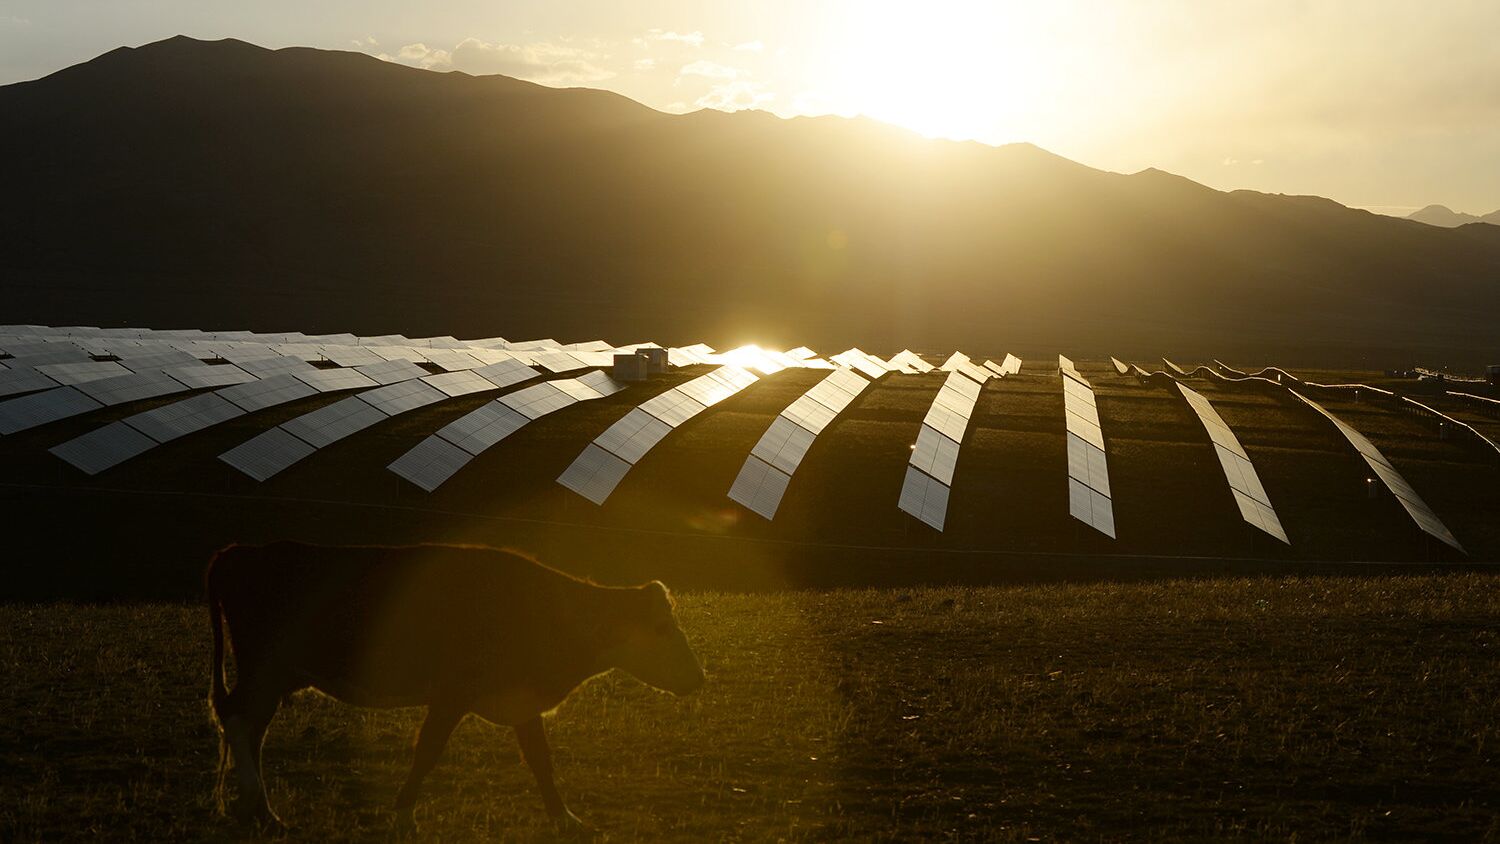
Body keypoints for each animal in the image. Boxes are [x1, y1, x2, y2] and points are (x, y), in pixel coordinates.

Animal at [205, 542, 708, 833]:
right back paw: (257, 803)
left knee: (249, 727)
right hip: (263, 668)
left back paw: (258, 809)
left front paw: (566, 818)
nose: (699, 676)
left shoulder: (520, 699)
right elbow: (427, 751)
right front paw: (403, 813)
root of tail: (233, 551)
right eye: (662, 628)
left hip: (276, 676)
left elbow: (541, 760)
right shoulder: (450, 696)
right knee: (236, 719)